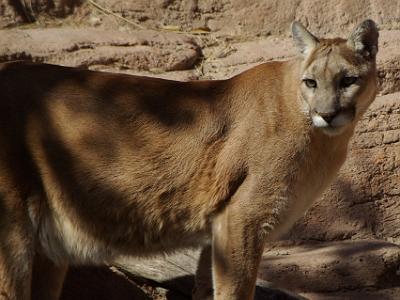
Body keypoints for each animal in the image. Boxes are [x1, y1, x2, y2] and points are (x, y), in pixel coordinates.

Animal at [0, 19, 378, 298]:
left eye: (348, 80)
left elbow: (207, 287)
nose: (327, 114)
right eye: (311, 82)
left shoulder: (219, 226)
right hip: (13, 233)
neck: (323, 137)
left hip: (48, 250)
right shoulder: (243, 217)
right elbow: (236, 291)